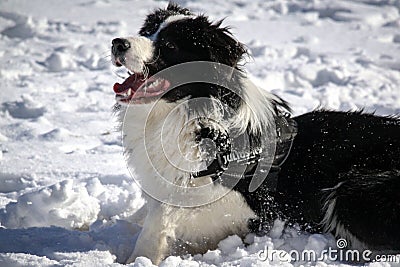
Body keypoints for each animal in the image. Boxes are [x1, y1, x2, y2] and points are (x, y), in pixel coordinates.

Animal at [111, 2, 400, 266]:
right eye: (146, 31)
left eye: (170, 46)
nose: (117, 43)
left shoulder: (255, 210)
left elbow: (163, 215)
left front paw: (140, 256)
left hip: (352, 191)